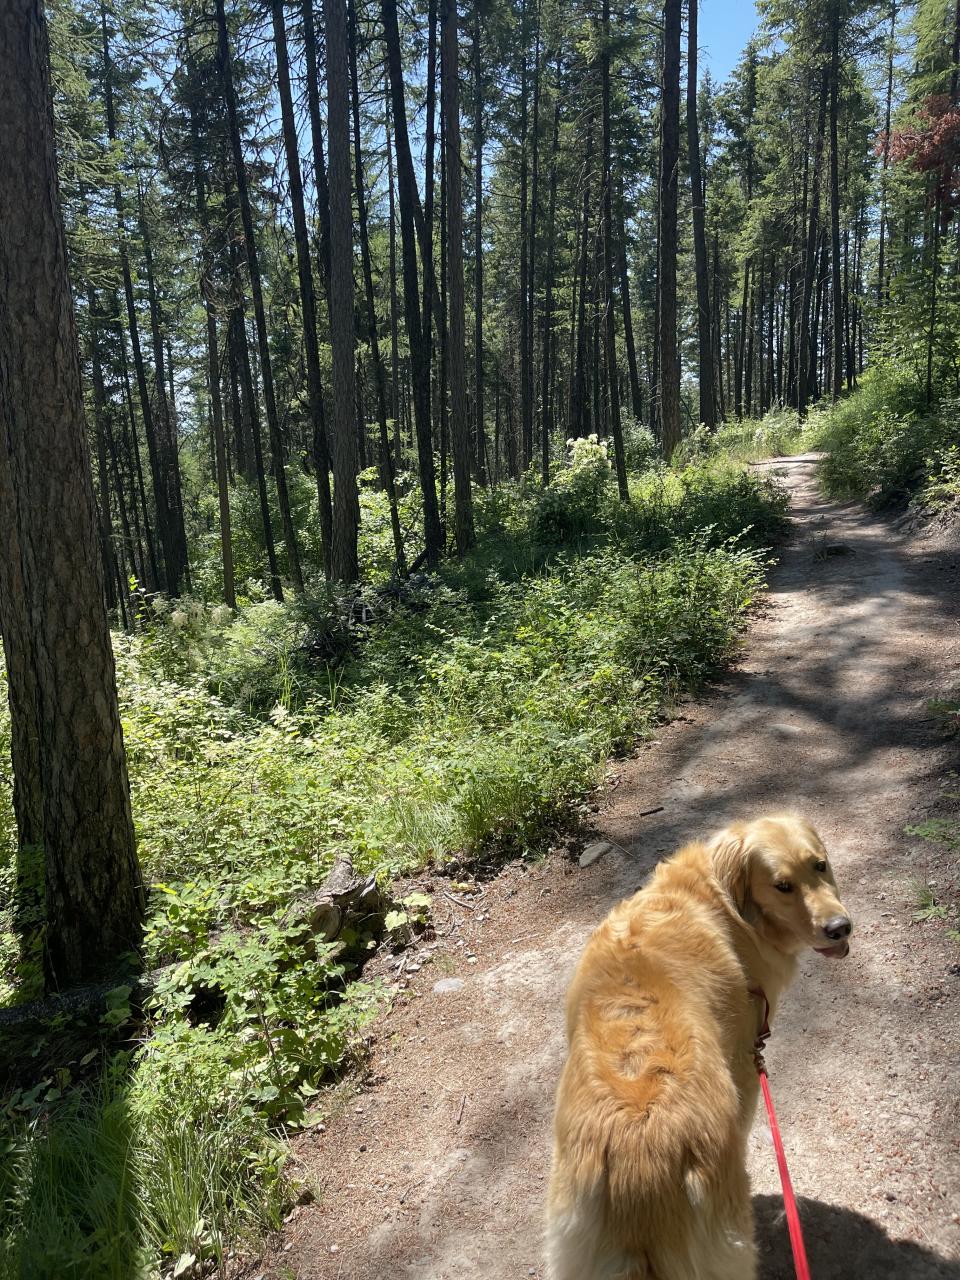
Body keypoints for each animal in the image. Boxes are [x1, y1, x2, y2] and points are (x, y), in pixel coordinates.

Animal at [545, 814, 855, 1274]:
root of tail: (639, 1162)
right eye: (782, 885)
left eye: (819, 865)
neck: (717, 900)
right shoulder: (745, 1063)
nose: (840, 928)